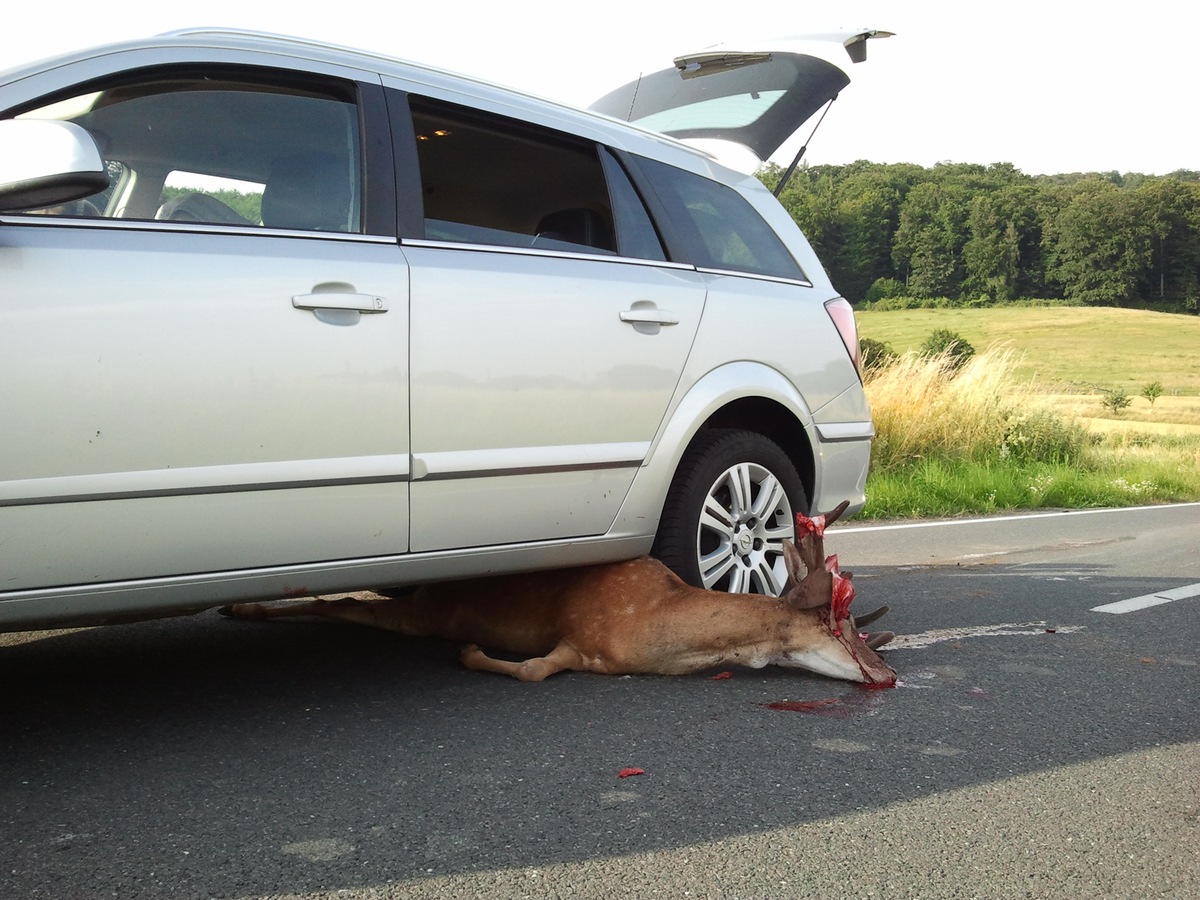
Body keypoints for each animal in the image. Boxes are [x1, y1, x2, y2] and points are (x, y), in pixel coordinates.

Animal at [220, 504, 897, 686]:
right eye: (844, 624)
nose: (888, 674)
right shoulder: (579, 640)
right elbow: (532, 671)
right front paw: (471, 654)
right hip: (425, 609)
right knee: (341, 603)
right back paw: (240, 604)